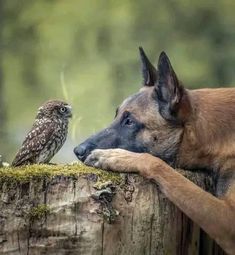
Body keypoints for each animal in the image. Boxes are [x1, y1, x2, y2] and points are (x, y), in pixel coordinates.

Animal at [74, 47, 235, 255]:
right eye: (116, 115)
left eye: (129, 121)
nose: (77, 150)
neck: (213, 134)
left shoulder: (228, 218)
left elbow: (157, 164)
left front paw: (115, 156)